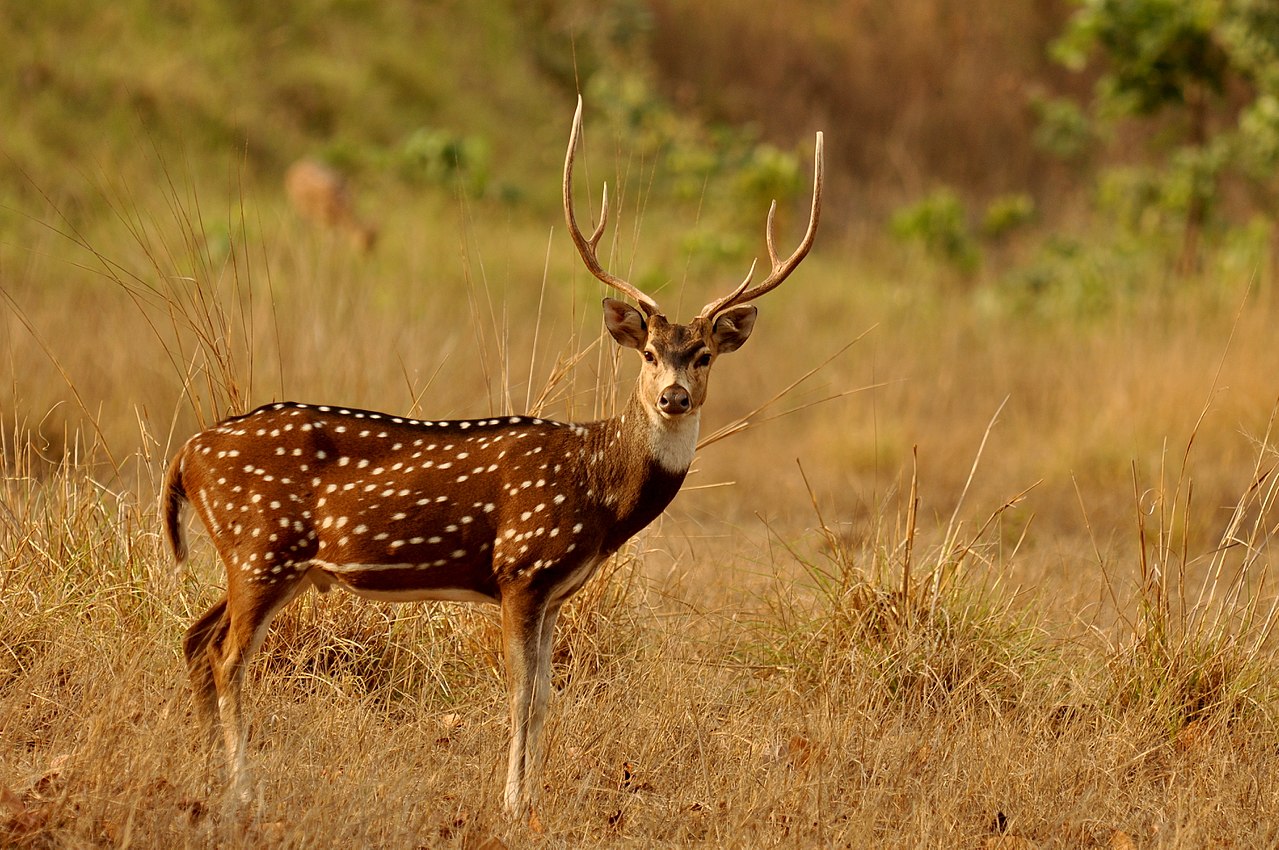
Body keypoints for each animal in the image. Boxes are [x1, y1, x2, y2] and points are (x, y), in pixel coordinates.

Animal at [164, 99, 823, 818]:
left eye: (703, 355)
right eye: (649, 353)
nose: (673, 397)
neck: (596, 488)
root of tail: (187, 456)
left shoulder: (557, 591)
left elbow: (545, 699)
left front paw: (531, 797)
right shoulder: (520, 567)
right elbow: (519, 696)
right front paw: (510, 802)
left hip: (261, 559)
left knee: (196, 639)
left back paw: (207, 772)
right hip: (262, 545)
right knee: (228, 657)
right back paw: (243, 790)